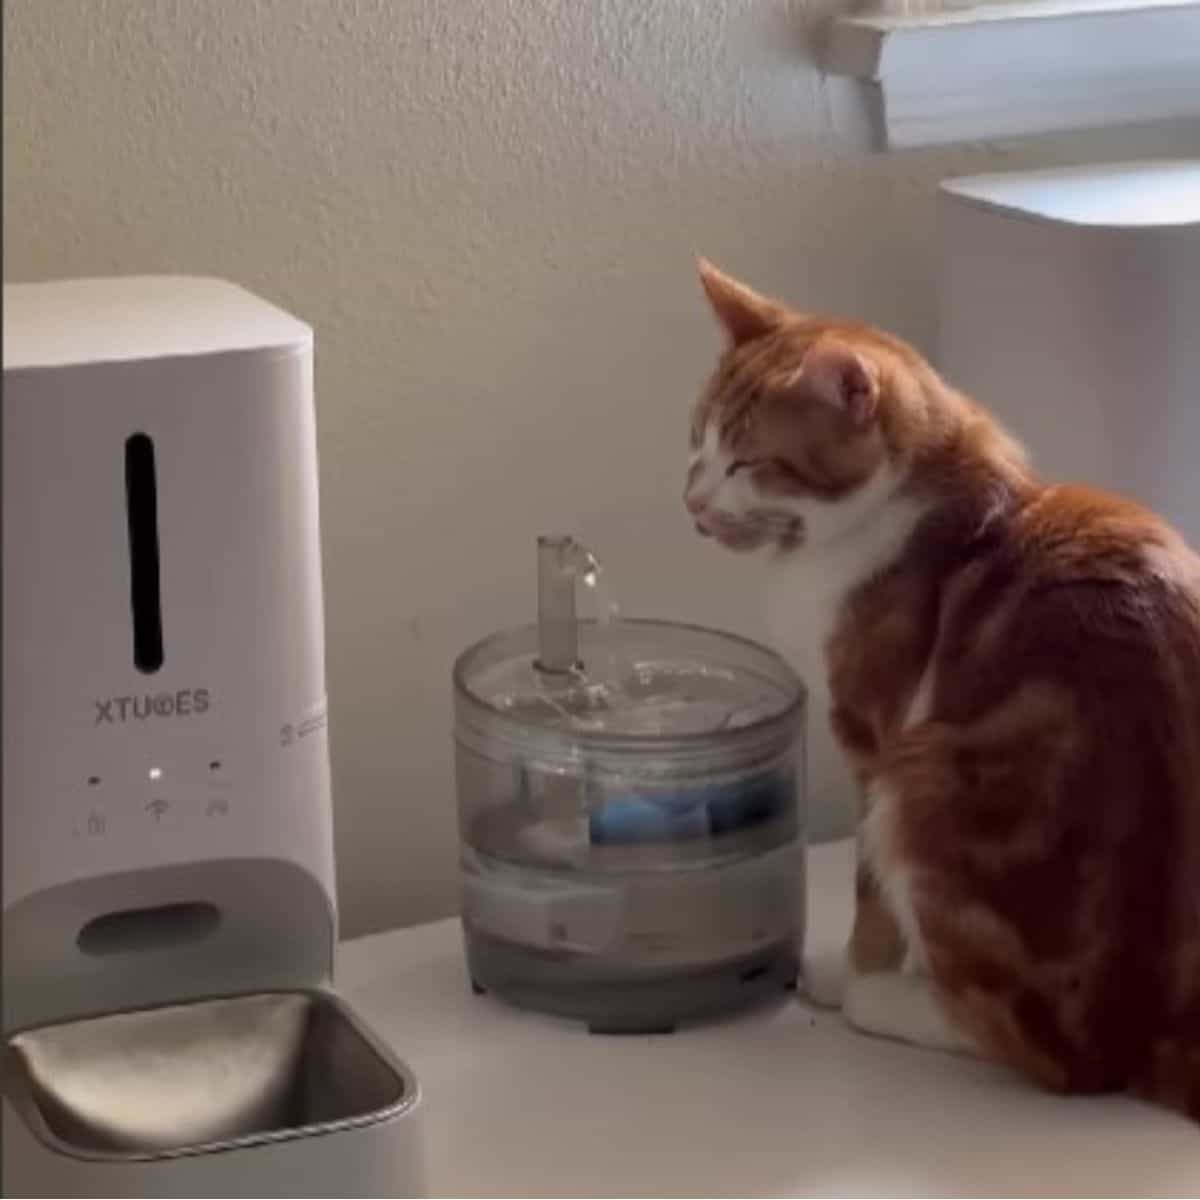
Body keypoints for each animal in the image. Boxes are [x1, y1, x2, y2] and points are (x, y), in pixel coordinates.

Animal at [686, 258, 1200, 1118]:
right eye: (698, 442)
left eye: (748, 463)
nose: (692, 504)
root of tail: (1145, 1033)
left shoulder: (873, 738)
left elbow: (870, 895)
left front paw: (855, 971)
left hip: (926, 783)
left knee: (1047, 1058)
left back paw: (889, 1005)